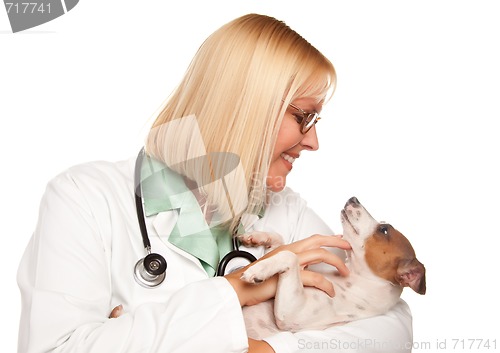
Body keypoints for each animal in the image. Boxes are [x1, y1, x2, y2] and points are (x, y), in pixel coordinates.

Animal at [239, 197, 426, 340]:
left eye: (384, 229)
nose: (354, 198)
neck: (353, 279)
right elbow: (281, 243)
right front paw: (257, 236)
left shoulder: (293, 313)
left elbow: (289, 255)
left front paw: (259, 269)